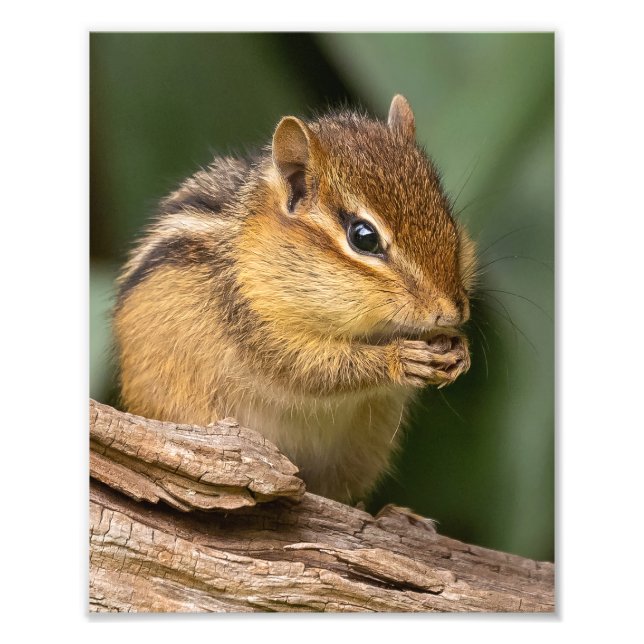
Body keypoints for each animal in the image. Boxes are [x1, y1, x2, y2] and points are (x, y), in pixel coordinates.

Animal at [113, 95, 476, 504]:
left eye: (447, 217)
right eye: (363, 237)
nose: (452, 311)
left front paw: (460, 351)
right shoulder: (252, 321)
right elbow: (309, 368)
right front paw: (400, 358)